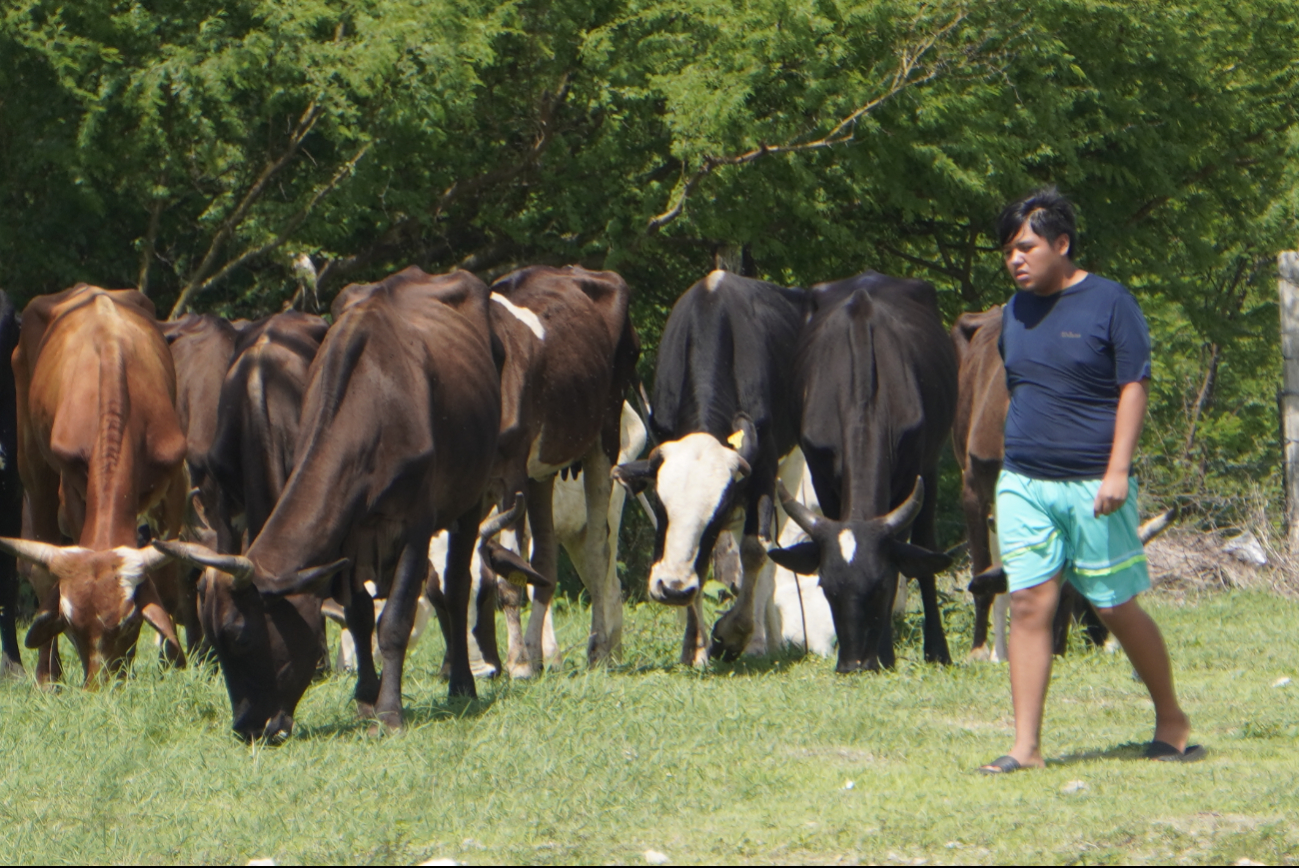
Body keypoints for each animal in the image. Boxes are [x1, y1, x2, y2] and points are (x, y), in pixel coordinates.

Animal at [0, 284, 188, 686]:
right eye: (70, 627)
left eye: (129, 625)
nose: (98, 686)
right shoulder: (71, 484)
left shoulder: (175, 482)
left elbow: (167, 575)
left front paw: (169, 662)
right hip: (31, 464)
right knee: (41, 563)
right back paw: (48, 674)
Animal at [155, 266, 501, 738]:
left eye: (240, 636)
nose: (246, 727)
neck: (375, 404)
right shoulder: (347, 533)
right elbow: (358, 615)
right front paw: (366, 700)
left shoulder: (415, 522)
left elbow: (394, 620)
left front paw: (389, 713)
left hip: (470, 495)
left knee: (458, 584)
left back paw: (463, 683)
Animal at [607, 268, 800, 665]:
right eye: (661, 504)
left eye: (717, 512)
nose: (673, 588)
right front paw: (694, 645)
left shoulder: (764, 469)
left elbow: (755, 550)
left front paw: (734, 633)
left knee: (772, 554)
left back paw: (765, 640)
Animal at [763, 271, 961, 670]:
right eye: (825, 586)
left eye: (881, 586)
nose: (854, 663)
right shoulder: (821, 473)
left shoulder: (910, 472)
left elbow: (908, 559)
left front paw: (885, 653)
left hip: (931, 466)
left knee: (924, 550)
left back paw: (936, 649)